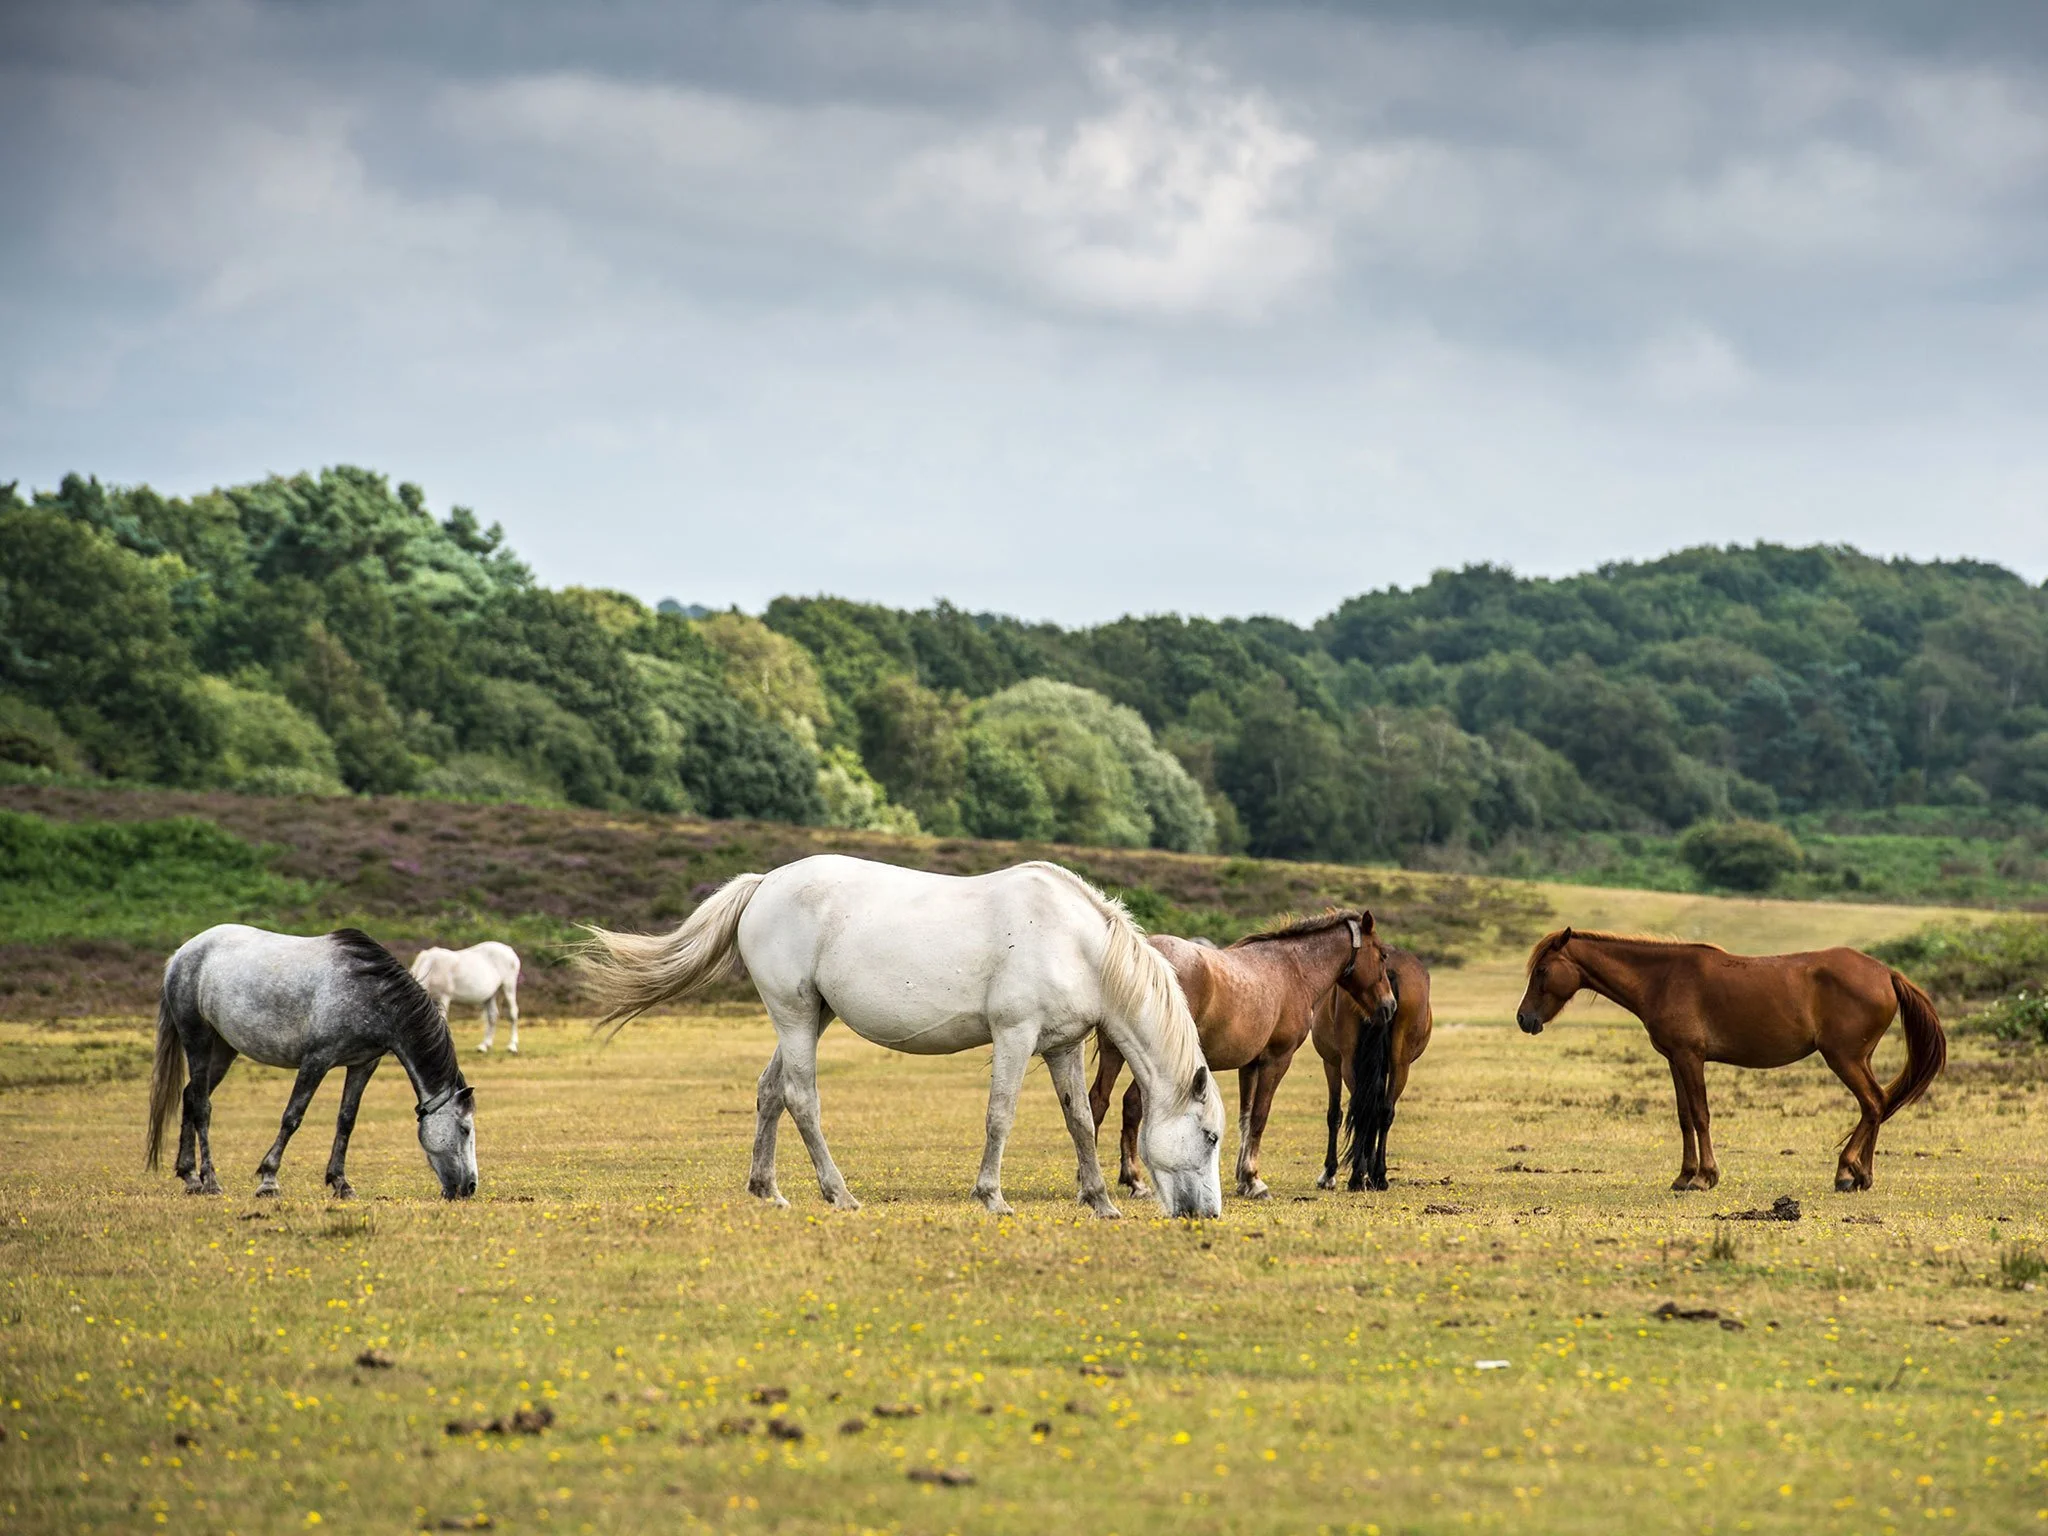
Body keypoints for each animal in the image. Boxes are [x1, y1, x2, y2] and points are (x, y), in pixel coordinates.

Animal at [146, 924, 477, 1200]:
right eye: (465, 1130)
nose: (470, 1187)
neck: (371, 994)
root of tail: (182, 954)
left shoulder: (363, 1065)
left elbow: (346, 1121)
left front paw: (341, 1183)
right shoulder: (317, 1060)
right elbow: (292, 1117)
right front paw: (269, 1180)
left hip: (224, 1049)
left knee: (191, 1096)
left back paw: (190, 1177)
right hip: (198, 1040)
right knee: (202, 1106)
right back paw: (210, 1181)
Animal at [581, 854, 1225, 1218]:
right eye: (1212, 1136)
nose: (1208, 1214)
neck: (1077, 942)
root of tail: (764, 884)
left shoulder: (1061, 1046)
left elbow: (1081, 1122)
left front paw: (1100, 1201)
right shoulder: (1014, 1037)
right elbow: (1001, 1116)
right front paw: (992, 1196)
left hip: (809, 1017)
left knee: (769, 1093)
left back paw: (769, 1190)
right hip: (795, 1016)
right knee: (801, 1098)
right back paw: (838, 1193)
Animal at [1088, 911, 1397, 1200]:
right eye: (1382, 955)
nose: (1390, 1006)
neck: (1294, 970)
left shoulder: (1249, 1066)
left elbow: (1245, 1119)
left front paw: (1243, 1180)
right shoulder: (1276, 1061)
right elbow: (1259, 1117)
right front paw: (1254, 1179)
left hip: (1114, 1053)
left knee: (1099, 1101)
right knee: (1131, 1105)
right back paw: (1132, 1180)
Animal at [1312, 944, 1433, 1192]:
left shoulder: (1331, 1063)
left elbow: (1334, 1114)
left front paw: (1329, 1173)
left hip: (1349, 1064)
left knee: (1361, 1108)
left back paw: (1357, 1177)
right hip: (1399, 1065)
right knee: (1384, 1111)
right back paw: (1379, 1175)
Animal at [1514, 928, 1946, 1192]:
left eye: (1543, 970)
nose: (1524, 1019)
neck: (1662, 978)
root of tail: (1886, 974)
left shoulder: (1691, 1058)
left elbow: (1701, 1115)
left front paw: (1704, 1177)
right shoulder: (1675, 1060)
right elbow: (1684, 1117)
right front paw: (1684, 1175)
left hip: (1844, 1058)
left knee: (1872, 1103)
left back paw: (1845, 1172)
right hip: (1859, 1058)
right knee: (1878, 1103)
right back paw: (1862, 1175)